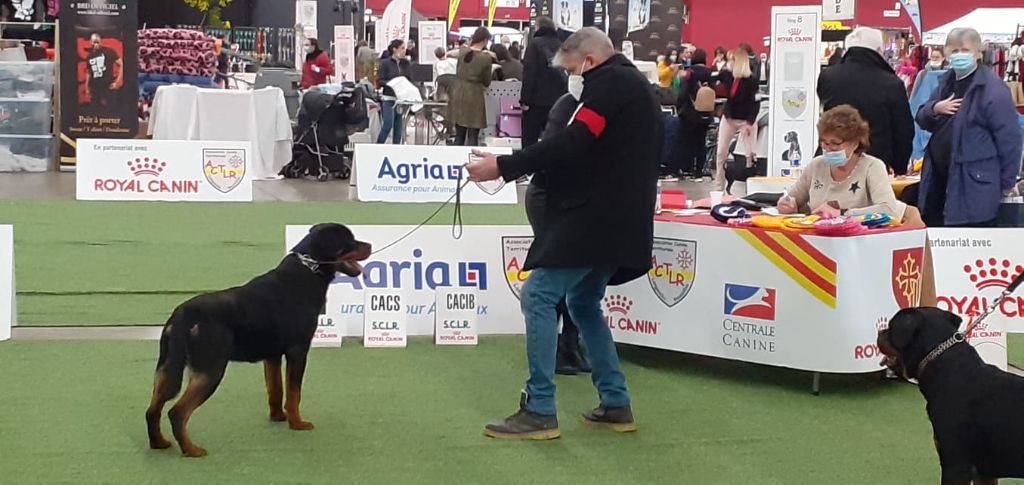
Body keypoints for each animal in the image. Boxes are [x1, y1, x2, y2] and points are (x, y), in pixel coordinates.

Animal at [145, 223, 371, 457]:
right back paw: (191, 450)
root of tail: (182, 317)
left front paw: (278, 418)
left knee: (153, 409)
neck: (309, 270)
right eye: (349, 241)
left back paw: (159, 443)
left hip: (166, 366)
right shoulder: (298, 350)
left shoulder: (272, 355)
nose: (370, 245)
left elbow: (276, 389)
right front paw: (297, 423)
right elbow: (294, 392)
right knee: (177, 412)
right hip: (210, 369)